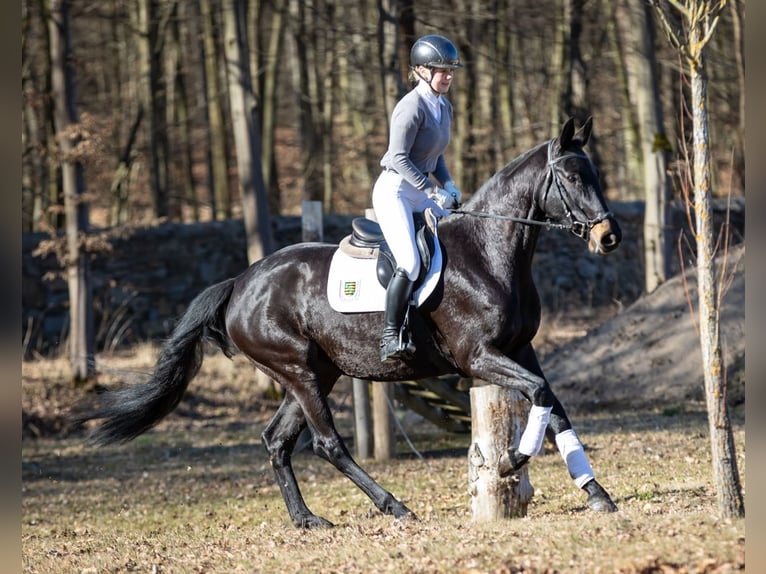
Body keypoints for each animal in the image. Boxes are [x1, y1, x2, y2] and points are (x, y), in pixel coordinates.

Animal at [75, 117, 622, 528]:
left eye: (593, 173)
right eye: (572, 178)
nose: (609, 237)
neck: (489, 252)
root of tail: (241, 282)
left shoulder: (521, 349)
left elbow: (554, 405)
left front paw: (597, 493)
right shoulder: (478, 357)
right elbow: (541, 398)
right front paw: (510, 460)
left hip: (317, 372)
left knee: (277, 441)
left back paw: (307, 519)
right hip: (298, 371)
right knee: (327, 444)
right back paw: (394, 506)